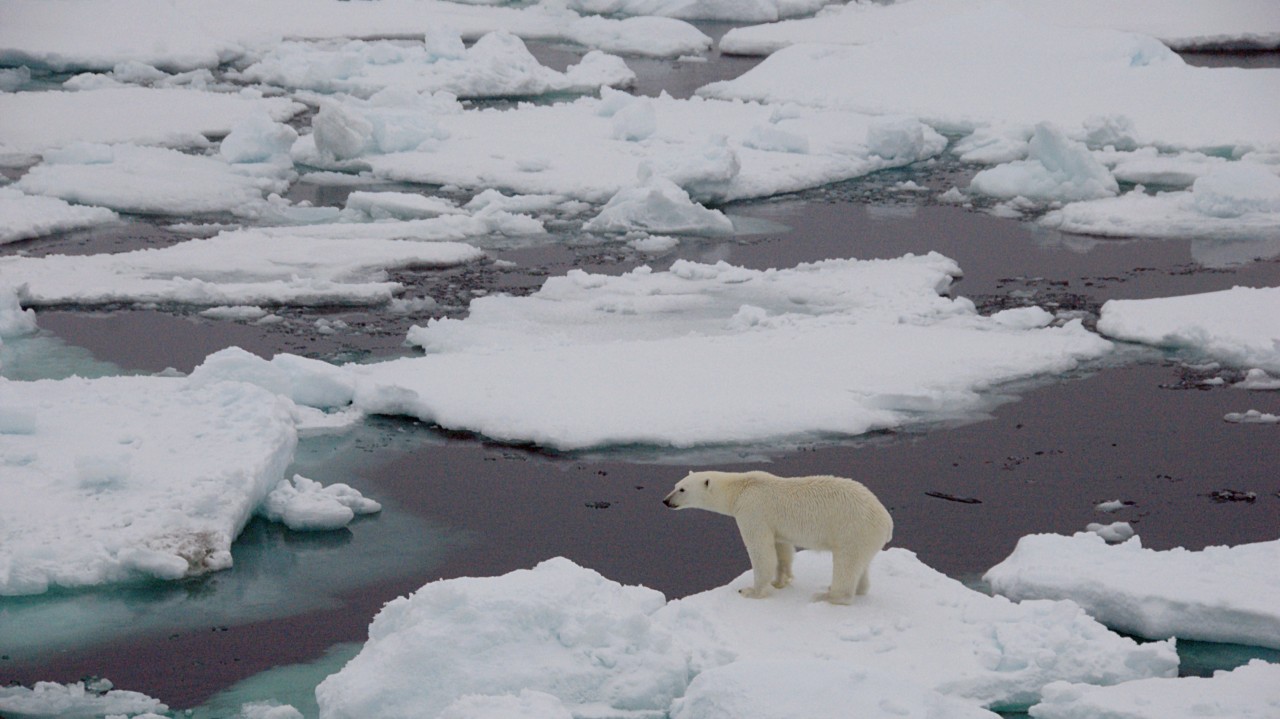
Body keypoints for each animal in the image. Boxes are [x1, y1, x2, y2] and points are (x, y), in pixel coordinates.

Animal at [663, 470, 893, 604]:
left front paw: (751, 591)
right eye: (675, 485)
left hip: (853, 529)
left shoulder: (752, 510)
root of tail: (887, 522)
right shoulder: (775, 525)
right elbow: (781, 548)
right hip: (864, 537)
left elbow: (760, 551)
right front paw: (780, 581)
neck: (740, 488)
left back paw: (827, 595)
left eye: (682, 489)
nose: (665, 501)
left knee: (846, 563)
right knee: (861, 565)